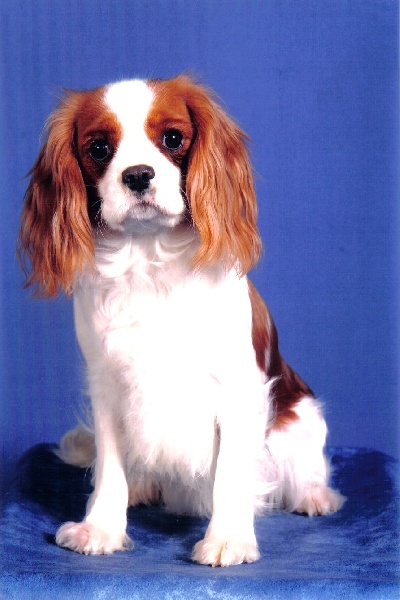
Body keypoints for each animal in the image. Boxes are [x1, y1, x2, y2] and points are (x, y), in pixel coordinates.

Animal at [18, 75, 344, 566]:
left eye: (172, 138)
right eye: (99, 148)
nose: (137, 174)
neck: (148, 258)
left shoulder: (237, 390)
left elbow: (231, 473)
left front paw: (228, 538)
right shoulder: (107, 385)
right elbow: (109, 467)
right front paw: (101, 528)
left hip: (302, 417)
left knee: (306, 469)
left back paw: (313, 495)